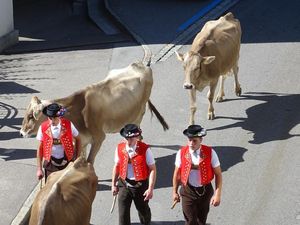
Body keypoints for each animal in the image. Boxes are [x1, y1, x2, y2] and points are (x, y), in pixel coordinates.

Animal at [19, 62, 168, 163]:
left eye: (31, 116)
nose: (21, 132)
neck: (77, 113)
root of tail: (140, 65)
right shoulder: (82, 139)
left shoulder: (99, 137)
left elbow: (89, 161)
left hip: (139, 112)